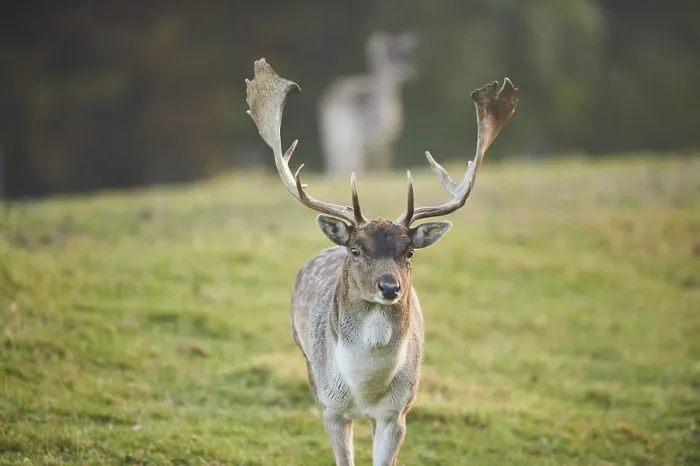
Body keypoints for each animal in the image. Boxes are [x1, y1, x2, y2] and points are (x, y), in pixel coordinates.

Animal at [245, 58, 517, 466]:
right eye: (357, 250)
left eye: (409, 252)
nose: (390, 287)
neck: (364, 388)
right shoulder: (331, 408)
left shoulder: (396, 413)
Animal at [318, 31, 419, 176]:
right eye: (389, 56)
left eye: (407, 54)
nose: (408, 69)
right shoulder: (360, 140)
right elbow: (361, 168)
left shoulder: (386, 143)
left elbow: (384, 167)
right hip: (340, 136)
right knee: (341, 163)